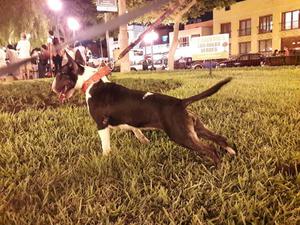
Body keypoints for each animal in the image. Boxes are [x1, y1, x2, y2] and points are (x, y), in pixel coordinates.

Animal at [51, 51, 236, 165]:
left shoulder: (101, 124)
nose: (52, 88)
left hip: (180, 135)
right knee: (219, 138)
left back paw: (217, 168)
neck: (92, 82)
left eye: (60, 74)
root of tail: (180, 102)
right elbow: (136, 130)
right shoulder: (128, 121)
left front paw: (105, 159)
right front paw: (144, 141)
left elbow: (106, 146)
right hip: (195, 128)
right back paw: (231, 153)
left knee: (210, 149)